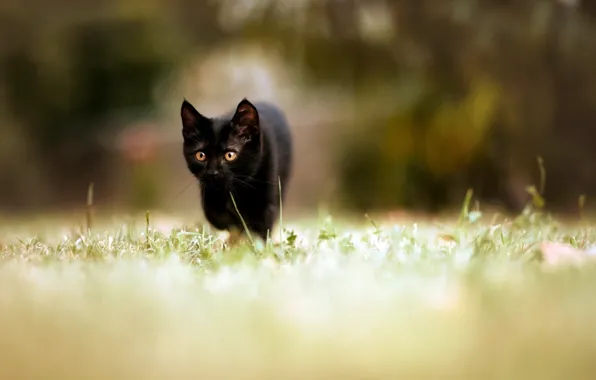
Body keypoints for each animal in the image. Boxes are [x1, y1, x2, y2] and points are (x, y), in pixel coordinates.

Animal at [182, 96, 294, 242]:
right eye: (200, 155)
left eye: (230, 155)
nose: (212, 172)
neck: (236, 189)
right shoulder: (208, 194)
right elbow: (217, 216)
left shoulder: (267, 198)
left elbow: (261, 224)